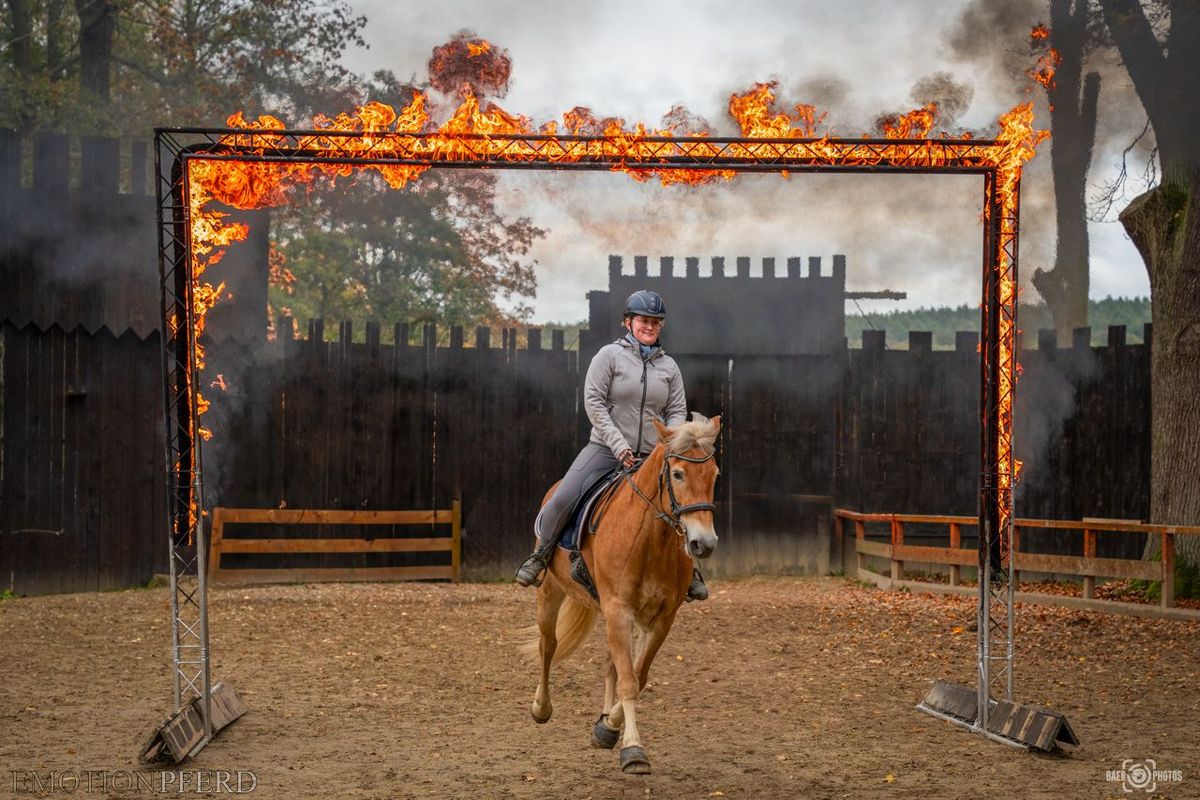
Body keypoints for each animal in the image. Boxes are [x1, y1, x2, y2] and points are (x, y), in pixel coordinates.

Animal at [518, 412, 720, 777]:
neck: (651, 539)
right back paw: (541, 707)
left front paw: (608, 728)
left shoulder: (659, 619)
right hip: (551, 592)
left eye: (714, 474)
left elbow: (636, 676)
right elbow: (628, 680)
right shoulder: (618, 610)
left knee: (610, 664)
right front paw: (634, 750)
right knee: (548, 644)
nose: (704, 544)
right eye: (678, 474)